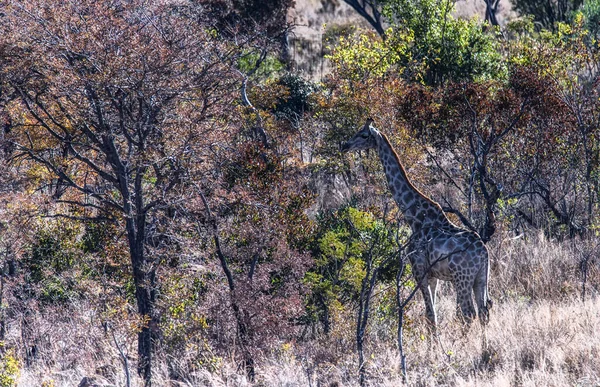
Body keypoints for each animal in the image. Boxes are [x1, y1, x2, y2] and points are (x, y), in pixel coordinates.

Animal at [342, 119, 492, 328]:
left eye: (363, 135)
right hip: (481, 277)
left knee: (468, 313)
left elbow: (430, 316)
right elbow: (432, 314)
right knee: (484, 312)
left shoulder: (419, 272)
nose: (344, 146)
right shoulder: (434, 277)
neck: (415, 218)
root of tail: (483, 252)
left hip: (462, 278)